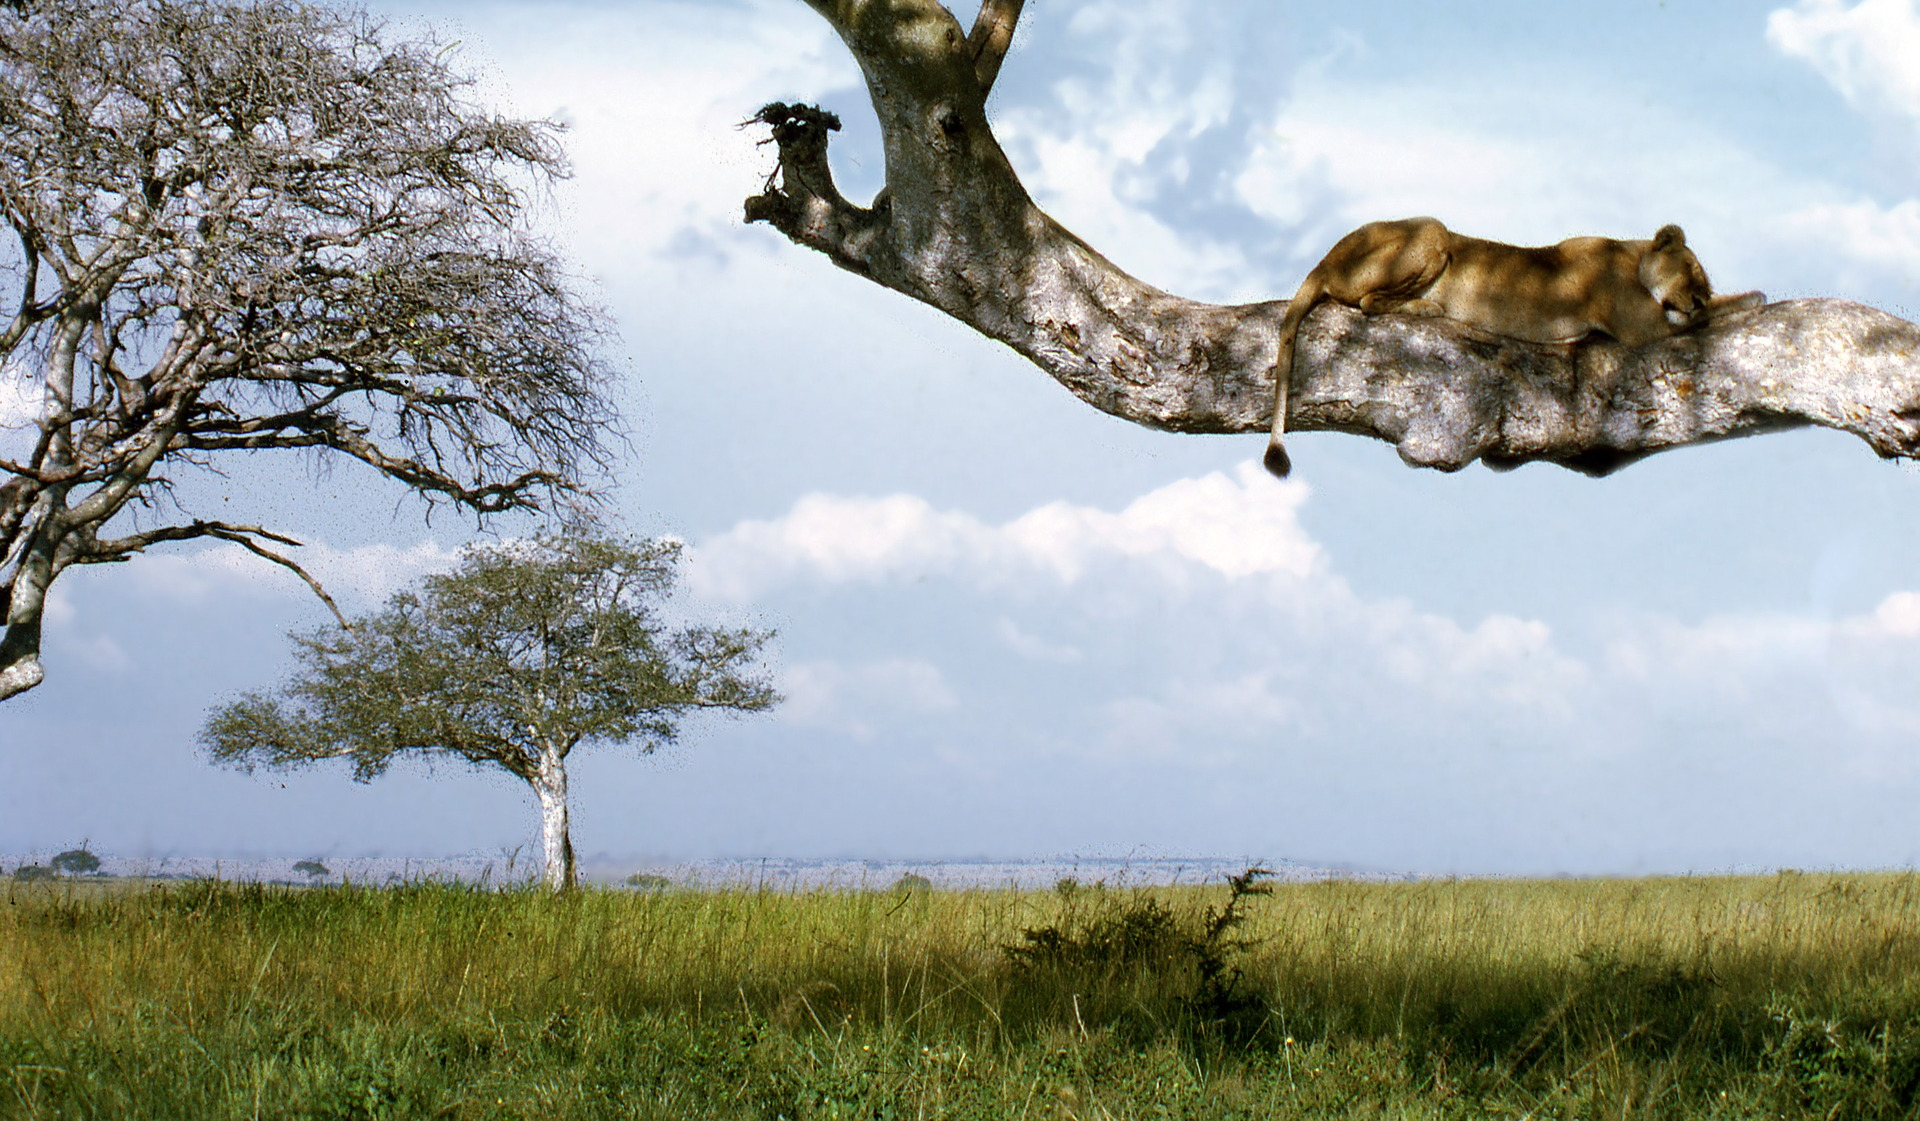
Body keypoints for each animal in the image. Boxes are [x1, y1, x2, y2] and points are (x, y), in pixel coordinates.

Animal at [1263, 217, 1765, 477]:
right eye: (1692, 273)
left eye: (1702, 281)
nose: (1698, 296)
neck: (1631, 255)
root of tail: (1323, 260)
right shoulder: (1642, 326)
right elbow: (1716, 314)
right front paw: (1754, 298)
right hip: (1432, 232)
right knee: (1367, 301)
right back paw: (1429, 308)